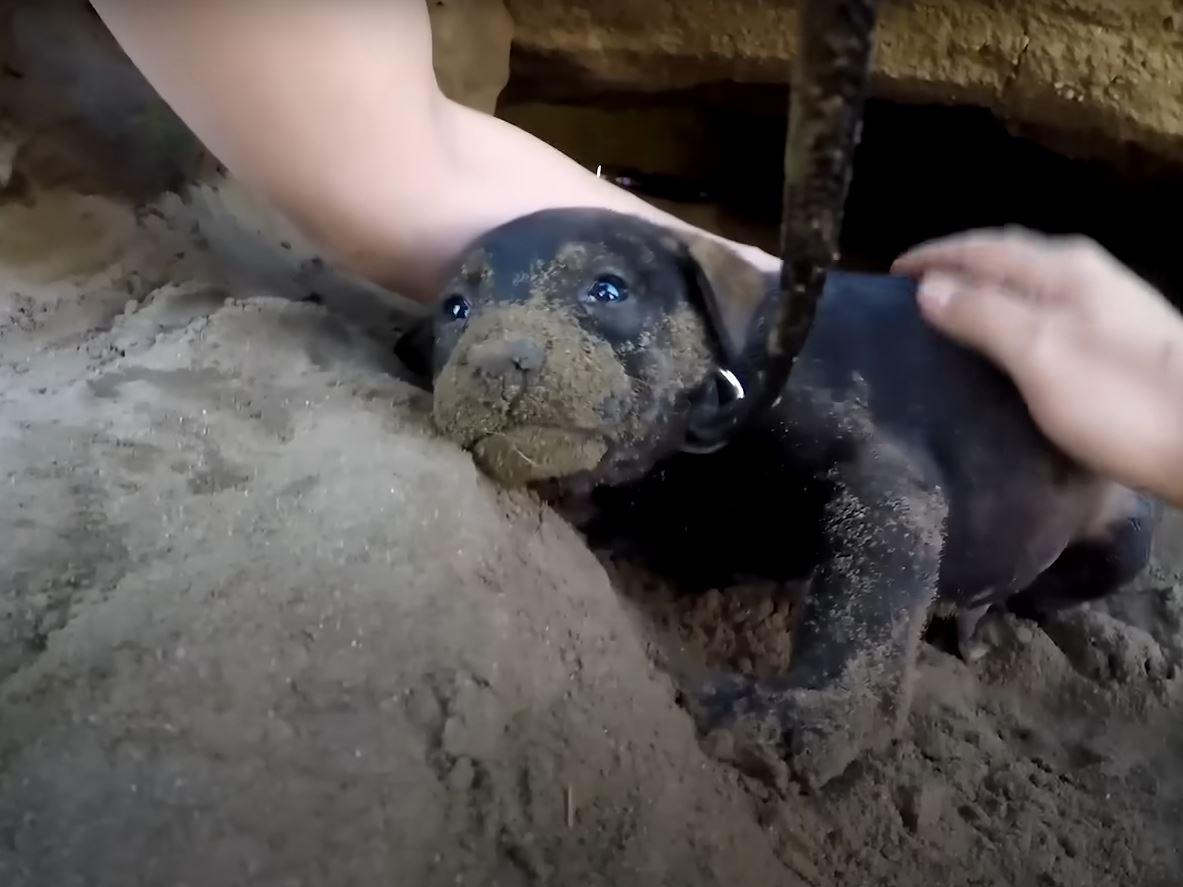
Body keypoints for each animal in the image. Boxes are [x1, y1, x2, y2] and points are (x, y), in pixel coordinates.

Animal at [402, 210, 1159, 790]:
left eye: (607, 289)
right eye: (456, 311)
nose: (494, 361)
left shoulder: (883, 477)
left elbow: (864, 610)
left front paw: (804, 717)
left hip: (1123, 533)